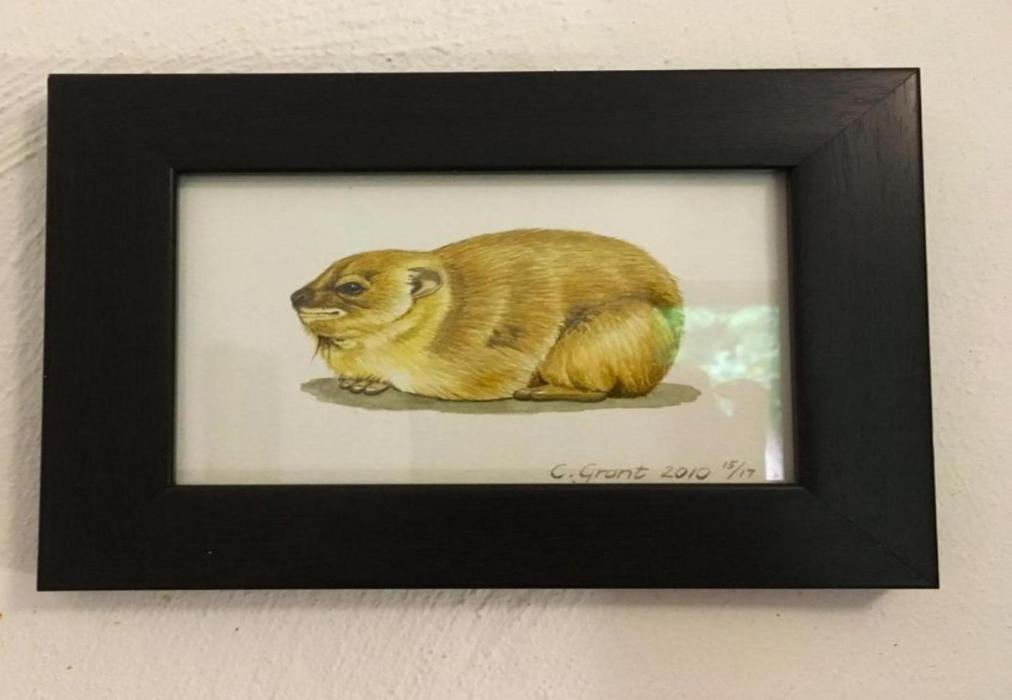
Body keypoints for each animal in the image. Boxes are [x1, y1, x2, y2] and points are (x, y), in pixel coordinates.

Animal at [290, 229, 683, 402]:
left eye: (351, 287)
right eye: (323, 272)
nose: (295, 296)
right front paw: (362, 381)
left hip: (596, 336)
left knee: (598, 391)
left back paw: (542, 391)